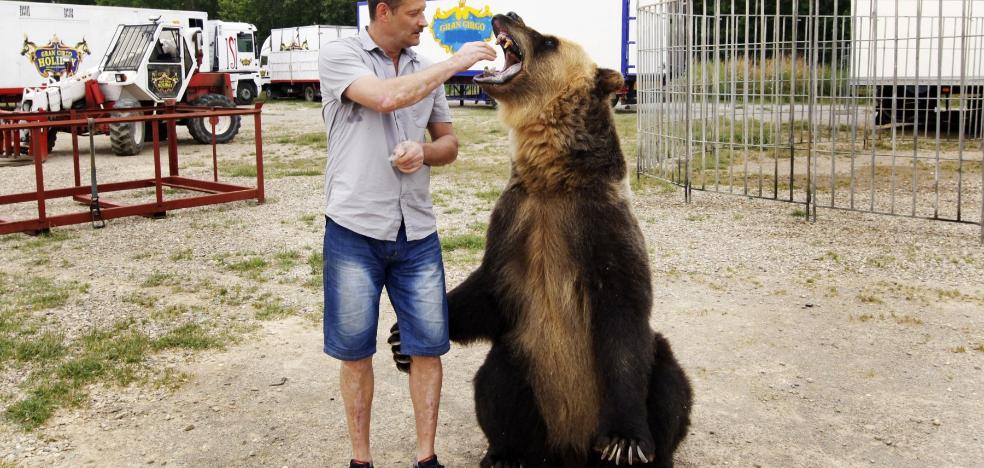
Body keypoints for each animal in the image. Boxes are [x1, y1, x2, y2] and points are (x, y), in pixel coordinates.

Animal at [392, 11, 692, 468]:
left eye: (549, 41)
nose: (508, 14)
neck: (553, 181)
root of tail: (570, 450)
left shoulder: (600, 226)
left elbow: (624, 320)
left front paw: (624, 441)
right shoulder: (516, 221)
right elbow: (487, 291)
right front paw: (399, 338)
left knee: (669, 380)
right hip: (529, 365)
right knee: (497, 380)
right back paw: (505, 453)